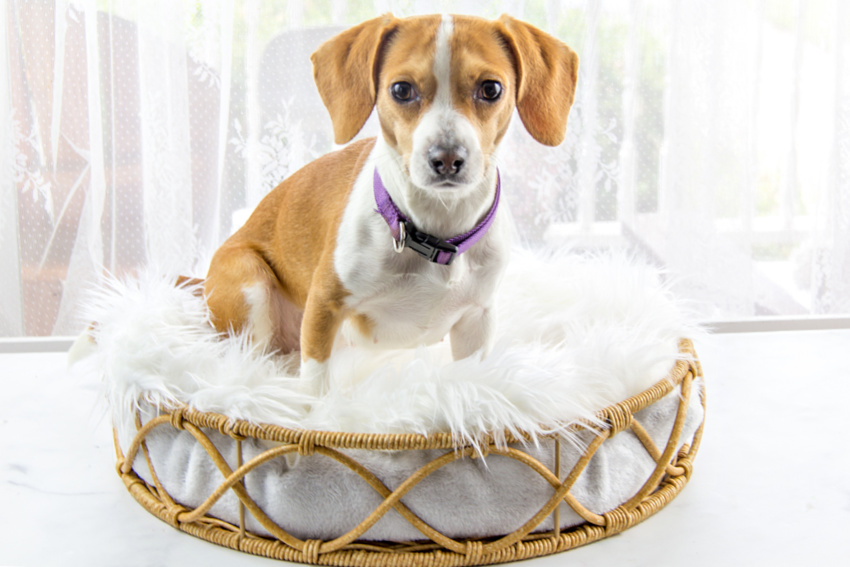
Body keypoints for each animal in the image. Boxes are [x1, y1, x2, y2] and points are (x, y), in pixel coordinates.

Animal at [204, 13, 576, 394]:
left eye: (491, 89)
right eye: (401, 90)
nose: (446, 158)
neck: (437, 229)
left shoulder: (476, 321)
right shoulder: (324, 304)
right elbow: (316, 384)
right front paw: (313, 406)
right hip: (250, 283)